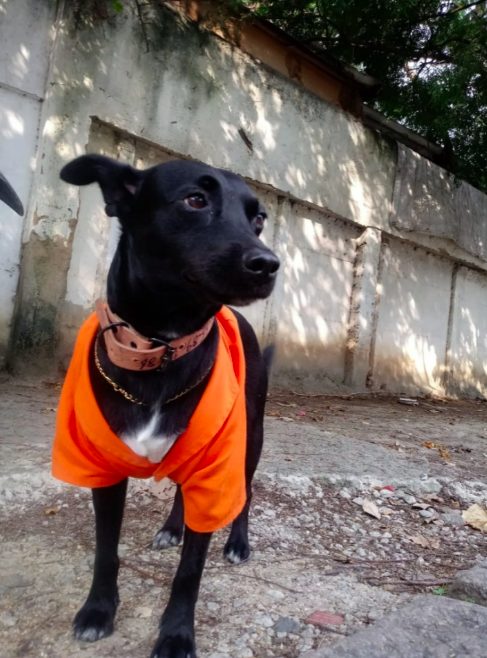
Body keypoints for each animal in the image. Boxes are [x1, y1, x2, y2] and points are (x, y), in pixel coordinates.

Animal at [56, 155, 278, 656]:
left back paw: (237, 543)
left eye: (257, 219)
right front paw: (97, 610)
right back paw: (173, 527)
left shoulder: (215, 471)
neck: (161, 348)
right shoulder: (104, 470)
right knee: (181, 489)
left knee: (246, 494)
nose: (268, 263)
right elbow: (105, 550)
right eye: (195, 199)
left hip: (250, 438)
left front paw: (176, 634)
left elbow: (190, 572)